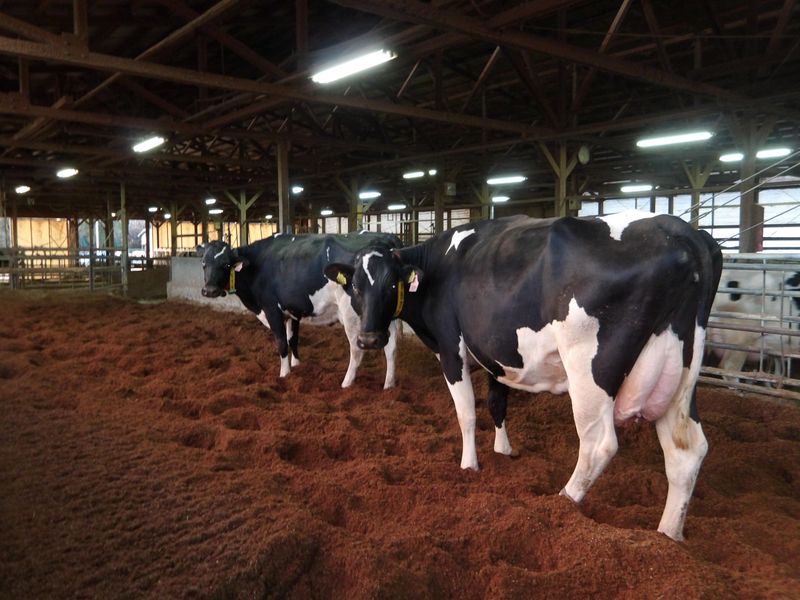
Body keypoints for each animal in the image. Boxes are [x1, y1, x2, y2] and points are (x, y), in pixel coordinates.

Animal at [197, 232, 401, 389]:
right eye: (204, 263)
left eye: (226, 264)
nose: (209, 291)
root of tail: (385, 238)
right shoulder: (293, 310)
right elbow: (293, 340)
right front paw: (296, 365)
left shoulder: (272, 310)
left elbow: (282, 343)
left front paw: (284, 373)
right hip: (384, 315)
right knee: (390, 347)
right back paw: (389, 385)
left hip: (352, 314)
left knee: (357, 350)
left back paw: (346, 383)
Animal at [324, 211, 722, 541]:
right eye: (355, 286)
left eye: (391, 285)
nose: (369, 339)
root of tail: (682, 233)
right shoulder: (494, 352)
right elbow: (496, 403)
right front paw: (504, 451)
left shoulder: (451, 348)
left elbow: (466, 413)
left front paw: (469, 465)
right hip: (682, 373)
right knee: (687, 450)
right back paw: (668, 535)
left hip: (588, 368)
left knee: (599, 444)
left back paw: (564, 500)